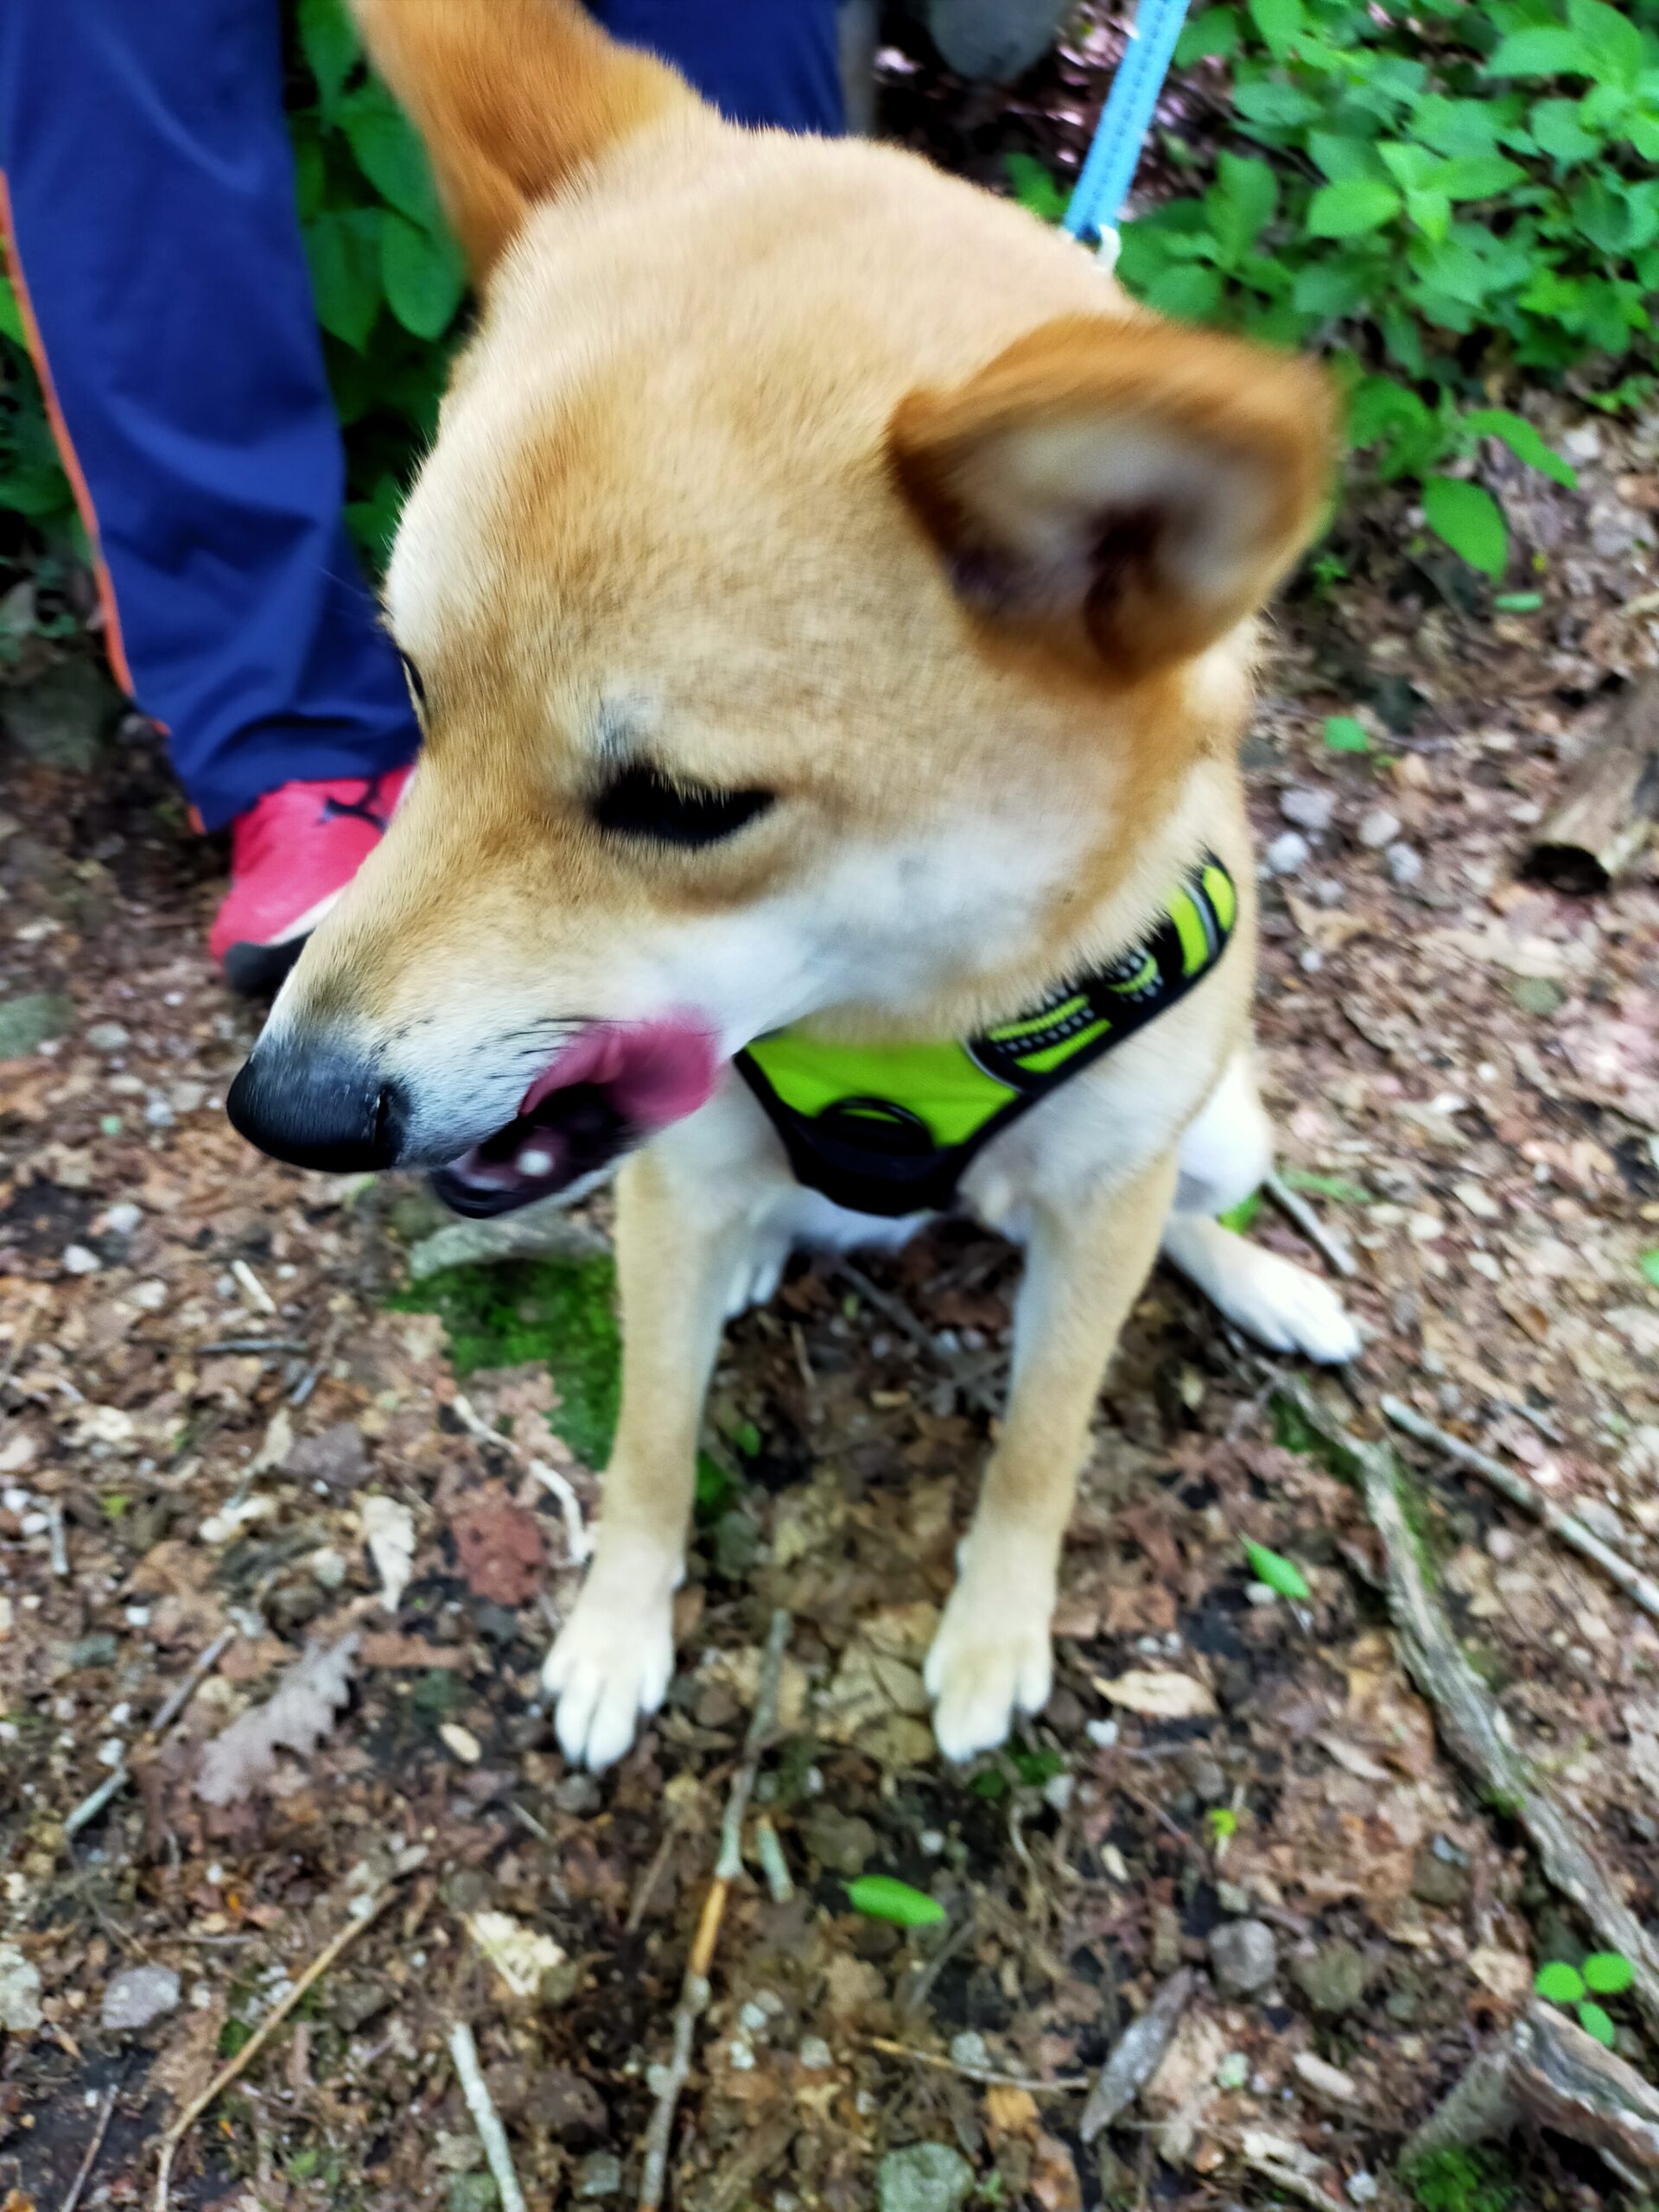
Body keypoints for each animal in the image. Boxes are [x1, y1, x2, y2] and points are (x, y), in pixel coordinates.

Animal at [224, 0, 1362, 1760]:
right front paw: (619, 1629)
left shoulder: (1100, 1201)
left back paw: (1262, 1282)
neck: (909, 1024)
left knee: (1181, 1214)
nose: (283, 1110)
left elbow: (1042, 1442)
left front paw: (993, 1635)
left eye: (684, 806)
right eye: (414, 687)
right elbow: (649, 1442)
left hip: (1218, 1129)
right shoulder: (670, 1197)